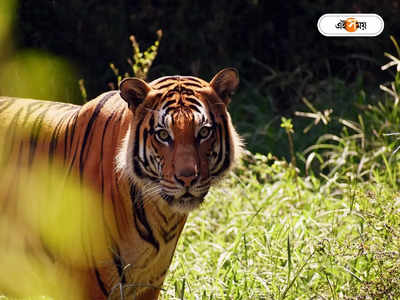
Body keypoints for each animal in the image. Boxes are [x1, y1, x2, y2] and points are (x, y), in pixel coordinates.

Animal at [0, 67, 242, 298]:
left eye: (204, 132)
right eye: (163, 135)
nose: (187, 178)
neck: (161, 217)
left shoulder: (149, 284)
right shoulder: (86, 283)